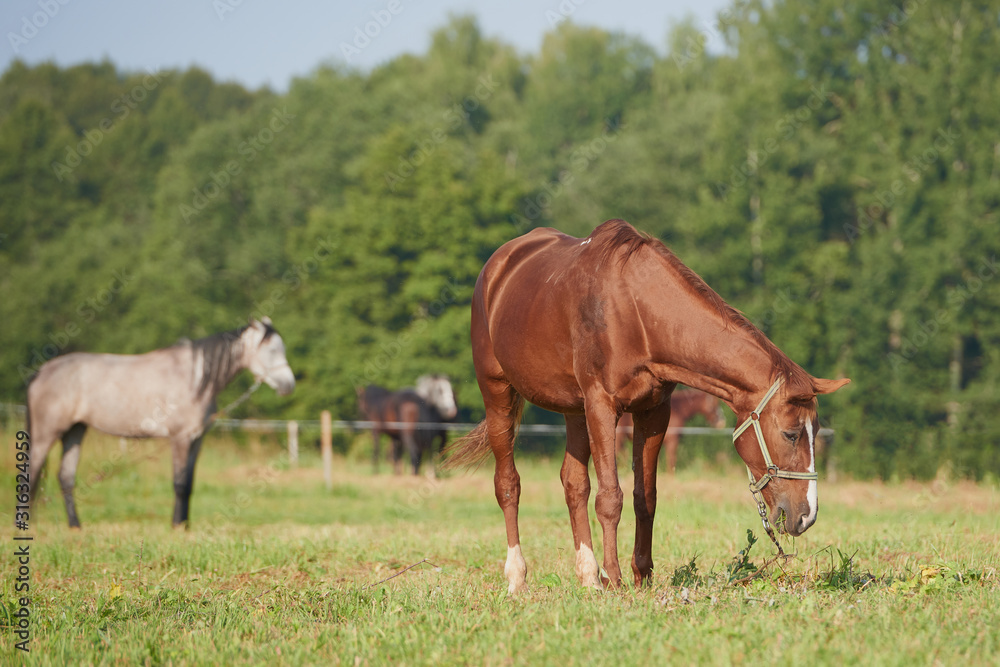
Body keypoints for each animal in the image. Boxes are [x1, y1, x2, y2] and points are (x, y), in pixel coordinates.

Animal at [26, 316, 292, 528]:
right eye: (271, 350)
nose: (289, 385)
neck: (195, 379)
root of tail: (42, 372)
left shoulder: (197, 440)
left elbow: (190, 484)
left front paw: (185, 525)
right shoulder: (180, 438)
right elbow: (180, 483)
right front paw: (177, 526)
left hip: (75, 431)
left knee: (66, 477)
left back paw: (75, 526)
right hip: (45, 434)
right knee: (32, 474)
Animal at [450, 220, 848, 596]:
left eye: (815, 432)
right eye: (791, 434)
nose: (806, 516)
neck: (636, 313)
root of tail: (496, 267)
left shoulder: (654, 411)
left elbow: (646, 497)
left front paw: (641, 575)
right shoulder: (602, 407)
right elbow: (610, 497)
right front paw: (614, 578)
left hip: (574, 410)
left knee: (573, 484)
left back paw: (587, 577)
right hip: (498, 392)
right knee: (508, 485)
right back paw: (518, 578)